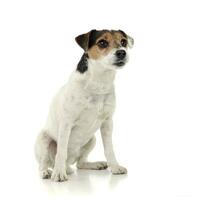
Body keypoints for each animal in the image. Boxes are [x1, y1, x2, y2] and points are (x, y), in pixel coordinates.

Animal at [35, 29, 134, 181]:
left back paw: (95, 164)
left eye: (123, 41)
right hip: (43, 139)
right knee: (44, 162)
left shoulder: (107, 123)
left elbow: (109, 149)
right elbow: (61, 151)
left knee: (80, 163)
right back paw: (48, 172)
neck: (99, 81)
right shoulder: (66, 123)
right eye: (102, 42)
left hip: (92, 139)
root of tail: (68, 164)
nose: (122, 52)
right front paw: (59, 173)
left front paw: (115, 167)